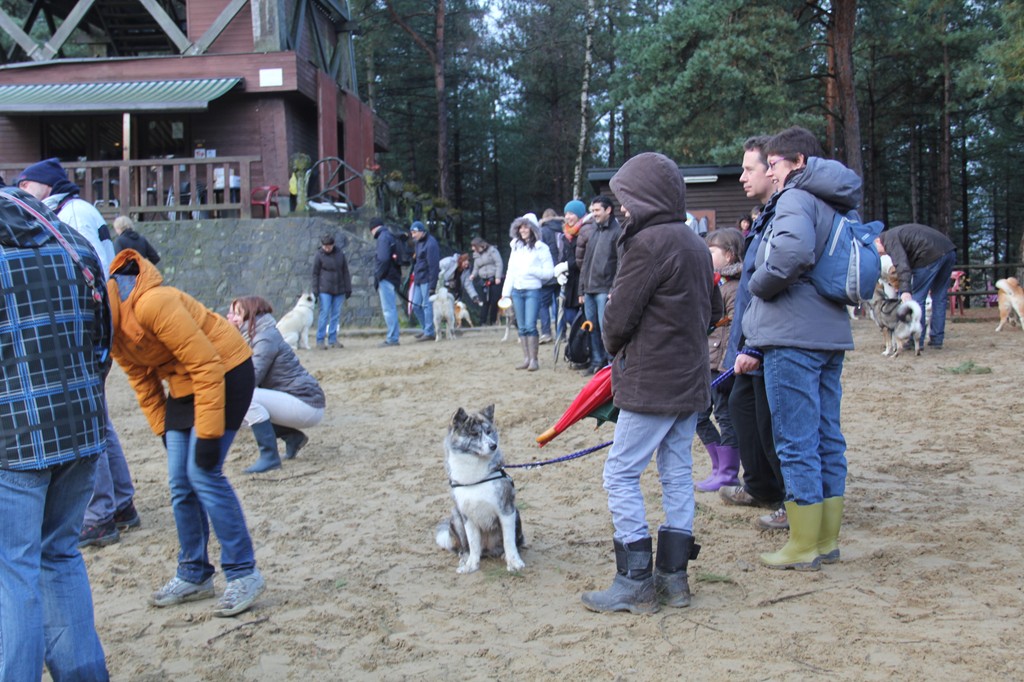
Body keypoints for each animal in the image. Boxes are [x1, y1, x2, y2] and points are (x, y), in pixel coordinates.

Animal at [434, 403, 528, 573]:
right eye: (474, 434)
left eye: (489, 431)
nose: (493, 445)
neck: (475, 479)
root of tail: (489, 551)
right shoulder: (467, 516)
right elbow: (473, 544)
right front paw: (471, 565)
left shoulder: (506, 511)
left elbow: (509, 541)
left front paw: (514, 562)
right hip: (455, 516)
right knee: (465, 547)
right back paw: (464, 558)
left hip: (516, 513)